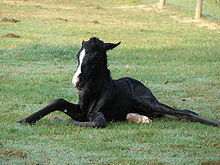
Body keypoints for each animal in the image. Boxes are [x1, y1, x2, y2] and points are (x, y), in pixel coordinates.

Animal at [17, 37, 220, 127]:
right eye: (78, 55)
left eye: (95, 56)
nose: (77, 82)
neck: (93, 91)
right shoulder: (80, 111)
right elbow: (58, 101)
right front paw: (26, 120)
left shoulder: (96, 115)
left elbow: (96, 122)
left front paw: (60, 120)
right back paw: (138, 117)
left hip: (144, 100)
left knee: (182, 113)